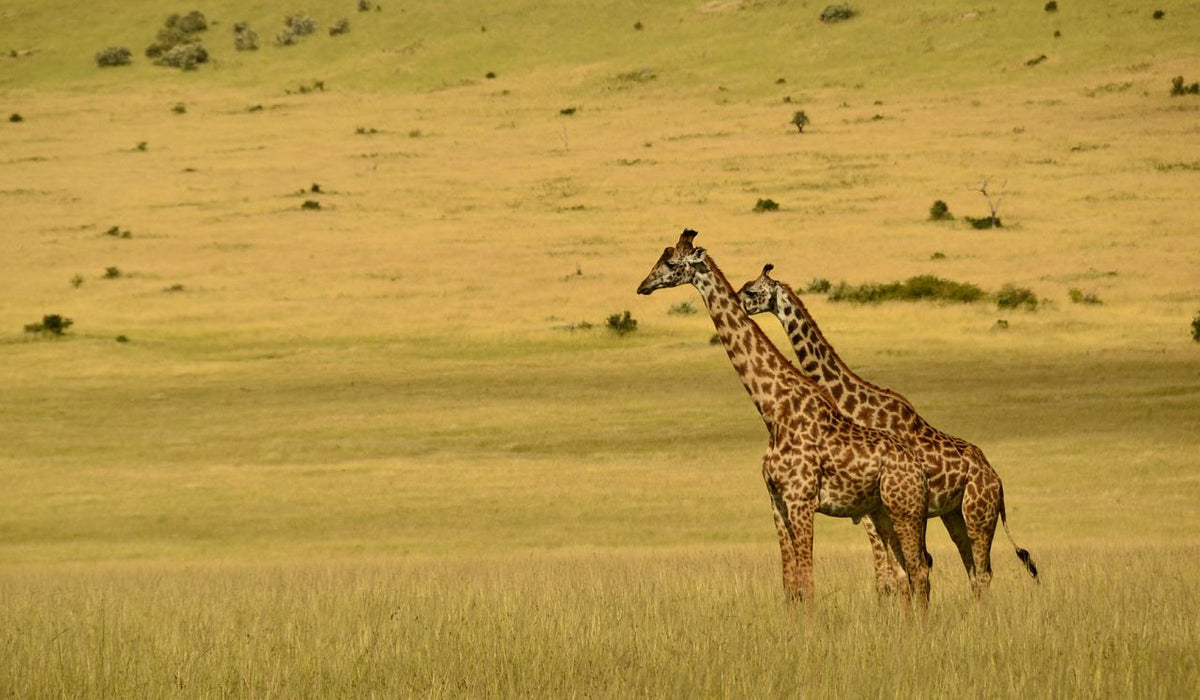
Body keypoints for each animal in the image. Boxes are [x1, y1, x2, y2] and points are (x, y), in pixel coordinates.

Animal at [636, 229, 931, 609]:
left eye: (671, 263)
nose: (643, 286)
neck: (774, 410)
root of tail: (919, 468)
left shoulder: (800, 499)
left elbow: (808, 583)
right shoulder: (776, 501)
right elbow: (791, 587)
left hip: (904, 509)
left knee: (918, 571)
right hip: (883, 512)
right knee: (905, 572)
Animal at [737, 264, 1038, 595]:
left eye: (751, 290)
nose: (739, 303)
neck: (854, 405)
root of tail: (997, 479)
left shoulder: (876, 507)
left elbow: (894, 575)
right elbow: (892, 575)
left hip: (977, 513)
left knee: (980, 571)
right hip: (952, 513)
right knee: (972, 567)